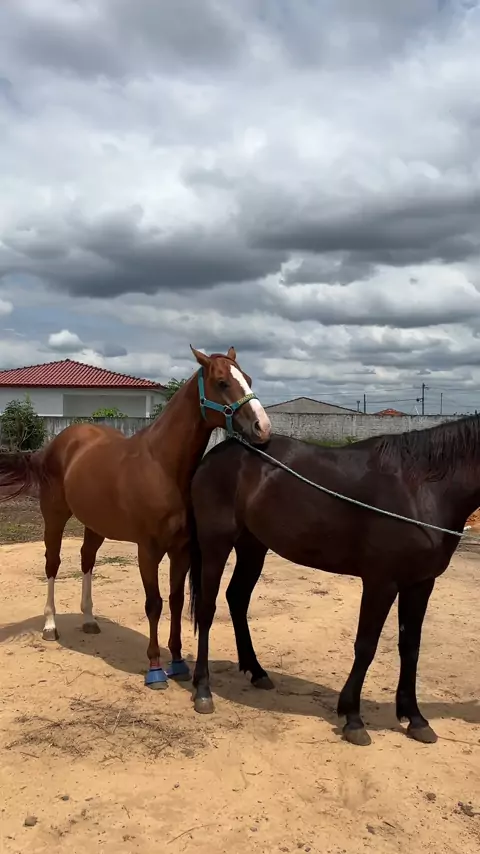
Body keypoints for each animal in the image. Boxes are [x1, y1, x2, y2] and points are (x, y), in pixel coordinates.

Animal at [0, 346, 272, 688]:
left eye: (248, 378)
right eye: (223, 382)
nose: (263, 427)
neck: (162, 466)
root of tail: (56, 444)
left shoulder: (181, 550)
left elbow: (175, 601)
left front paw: (178, 662)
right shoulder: (148, 550)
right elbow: (154, 603)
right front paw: (155, 668)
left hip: (95, 524)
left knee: (87, 560)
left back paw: (89, 619)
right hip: (55, 515)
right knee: (53, 563)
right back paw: (50, 625)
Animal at [187, 417, 480, 745]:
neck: (420, 488)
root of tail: (216, 454)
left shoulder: (420, 583)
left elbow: (411, 647)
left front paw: (415, 719)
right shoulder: (381, 582)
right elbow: (366, 646)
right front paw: (353, 718)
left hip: (253, 546)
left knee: (237, 598)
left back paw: (257, 671)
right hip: (216, 543)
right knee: (207, 610)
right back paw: (203, 690)